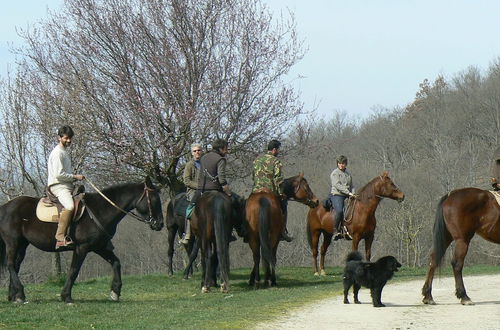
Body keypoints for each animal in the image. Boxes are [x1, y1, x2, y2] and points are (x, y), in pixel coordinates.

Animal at [0, 178, 163, 304]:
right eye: (155, 200)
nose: (160, 224)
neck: (100, 210)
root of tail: (5, 207)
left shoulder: (100, 247)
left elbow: (116, 263)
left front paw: (115, 292)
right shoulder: (82, 248)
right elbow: (74, 270)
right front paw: (66, 296)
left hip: (22, 245)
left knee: (15, 265)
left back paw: (14, 296)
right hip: (13, 242)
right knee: (10, 264)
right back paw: (20, 294)